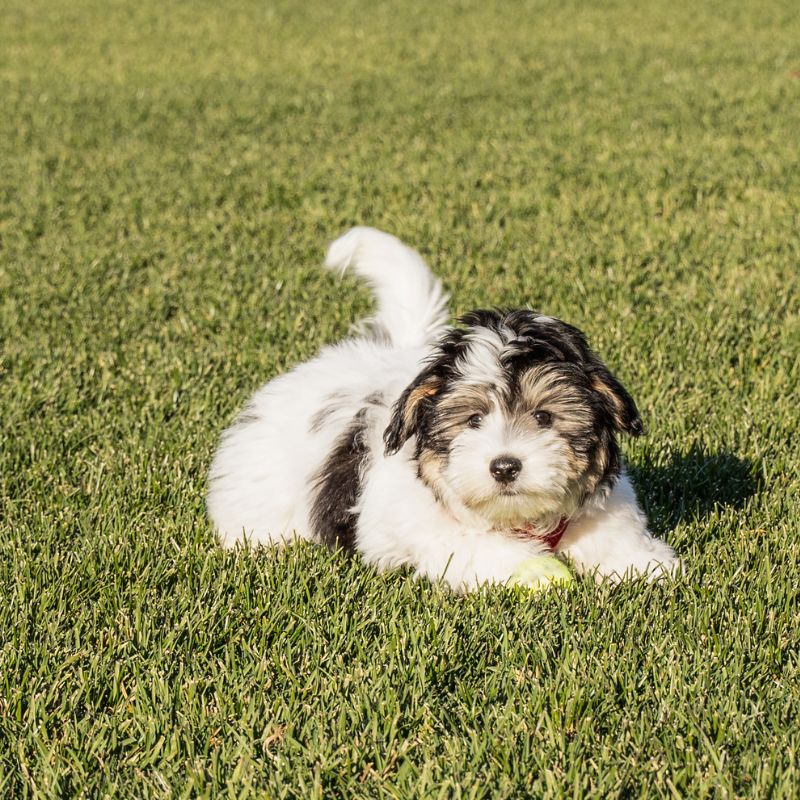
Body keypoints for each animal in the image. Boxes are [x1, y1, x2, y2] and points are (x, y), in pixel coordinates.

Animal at [208, 228, 680, 592]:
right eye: (473, 419)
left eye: (543, 417)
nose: (504, 466)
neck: (520, 520)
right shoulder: (421, 525)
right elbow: (472, 546)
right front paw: (530, 569)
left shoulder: (606, 504)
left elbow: (612, 533)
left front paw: (641, 563)